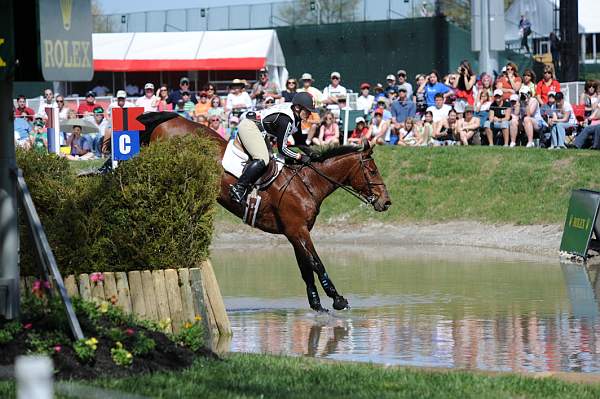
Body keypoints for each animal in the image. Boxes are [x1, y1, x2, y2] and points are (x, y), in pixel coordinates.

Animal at [137, 112, 392, 312]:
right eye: (372, 171)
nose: (386, 202)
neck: (307, 183)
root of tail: (175, 118)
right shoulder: (298, 230)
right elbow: (316, 263)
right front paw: (338, 299)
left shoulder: (295, 233)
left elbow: (306, 269)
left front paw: (317, 305)